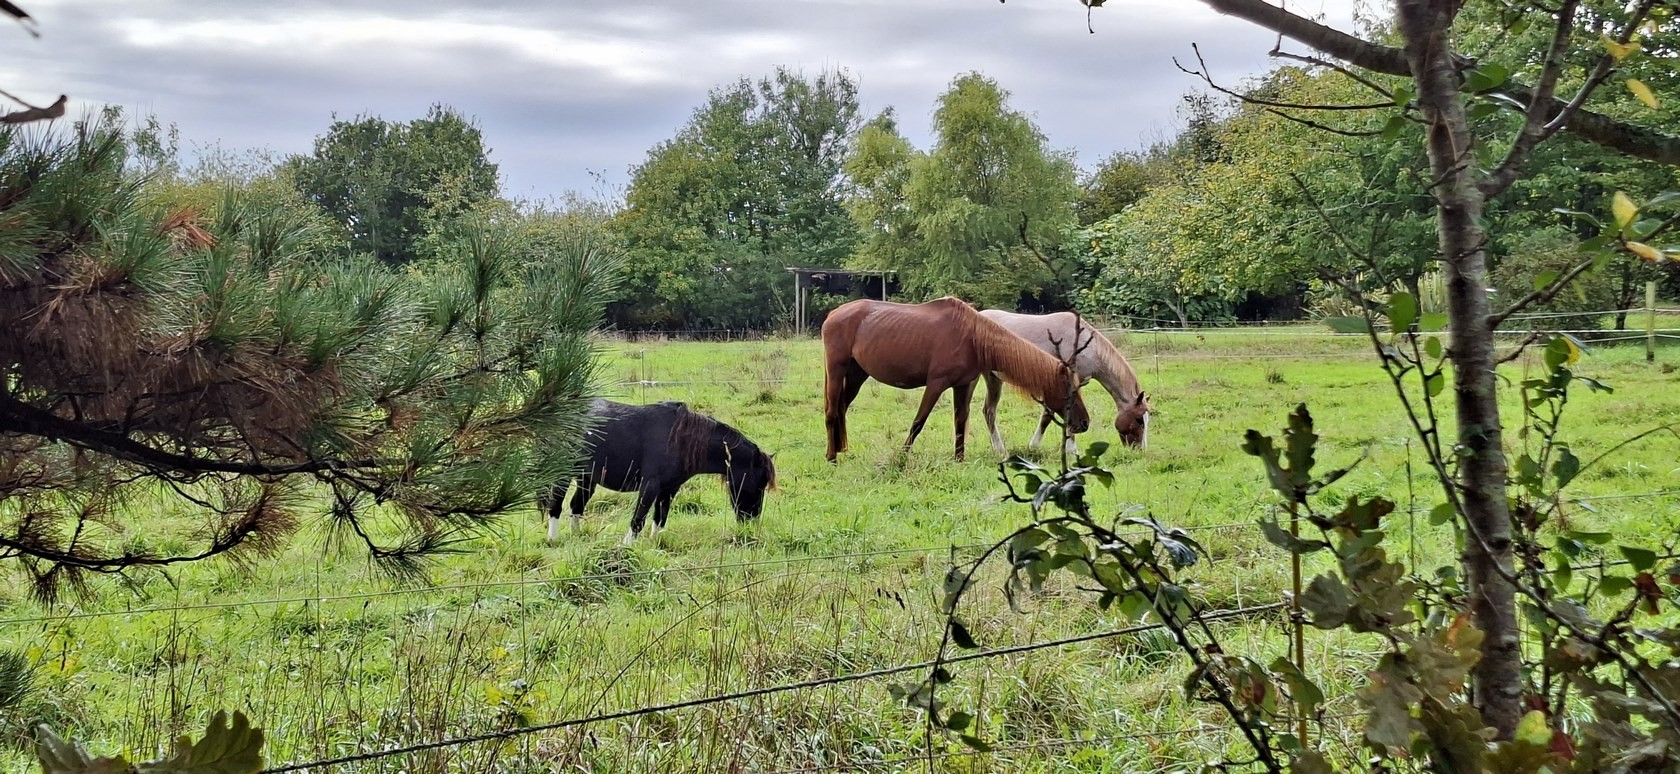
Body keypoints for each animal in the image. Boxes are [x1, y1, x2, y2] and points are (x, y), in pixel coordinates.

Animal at [541, 399, 776, 545]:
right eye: (759, 483)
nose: (751, 520)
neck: (680, 440)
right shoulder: (650, 485)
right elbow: (639, 518)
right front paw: (627, 546)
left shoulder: (669, 489)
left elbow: (660, 518)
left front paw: (656, 543)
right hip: (564, 474)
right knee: (556, 505)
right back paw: (553, 539)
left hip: (587, 478)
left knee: (576, 506)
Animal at [821, 296, 1090, 462]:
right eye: (1069, 389)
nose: (1084, 423)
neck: (971, 336)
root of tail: (833, 315)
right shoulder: (936, 384)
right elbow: (918, 422)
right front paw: (903, 456)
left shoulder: (963, 385)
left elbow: (960, 422)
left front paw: (959, 459)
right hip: (837, 369)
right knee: (832, 412)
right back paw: (832, 458)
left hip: (856, 375)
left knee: (842, 408)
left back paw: (840, 450)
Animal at [978, 309, 1150, 455]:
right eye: (1139, 420)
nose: (1140, 450)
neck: (1084, 344)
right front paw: (1071, 450)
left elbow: (1049, 416)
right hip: (990, 377)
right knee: (989, 411)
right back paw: (1000, 449)